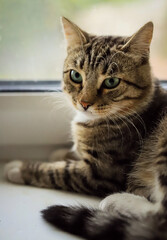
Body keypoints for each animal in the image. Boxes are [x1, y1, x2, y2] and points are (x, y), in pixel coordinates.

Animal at [3, 16, 167, 238]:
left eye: (111, 81)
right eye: (75, 76)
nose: (84, 103)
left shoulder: (101, 172)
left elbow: (60, 172)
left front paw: (19, 168)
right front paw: (61, 153)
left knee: (159, 217)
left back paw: (117, 201)